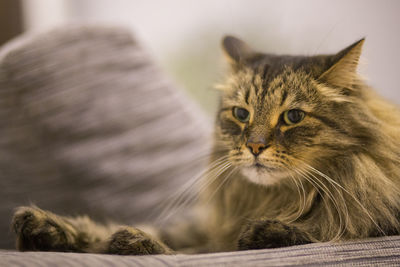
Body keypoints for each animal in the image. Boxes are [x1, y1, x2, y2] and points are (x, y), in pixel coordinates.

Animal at [10, 35, 400, 255]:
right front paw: (47, 227)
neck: (276, 198)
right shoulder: (207, 223)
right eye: (241, 114)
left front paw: (134, 243)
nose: (255, 147)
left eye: (292, 117)